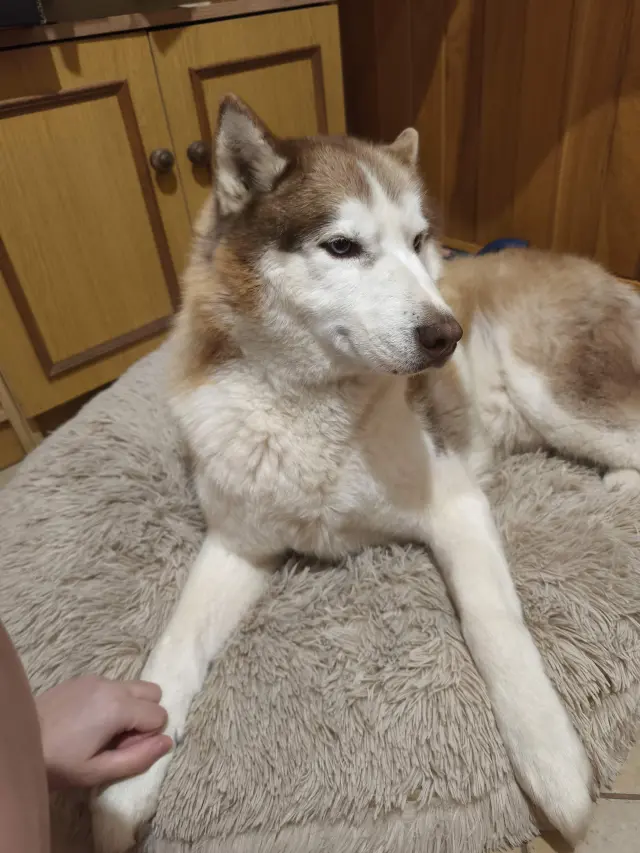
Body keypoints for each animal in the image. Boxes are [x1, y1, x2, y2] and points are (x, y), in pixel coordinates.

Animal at [91, 94, 640, 852]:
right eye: (342, 246)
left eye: (419, 240)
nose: (447, 335)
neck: (305, 404)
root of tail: (594, 268)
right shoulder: (237, 544)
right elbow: (173, 649)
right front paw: (125, 788)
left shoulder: (455, 507)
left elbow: (495, 626)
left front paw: (551, 762)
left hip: (553, 393)